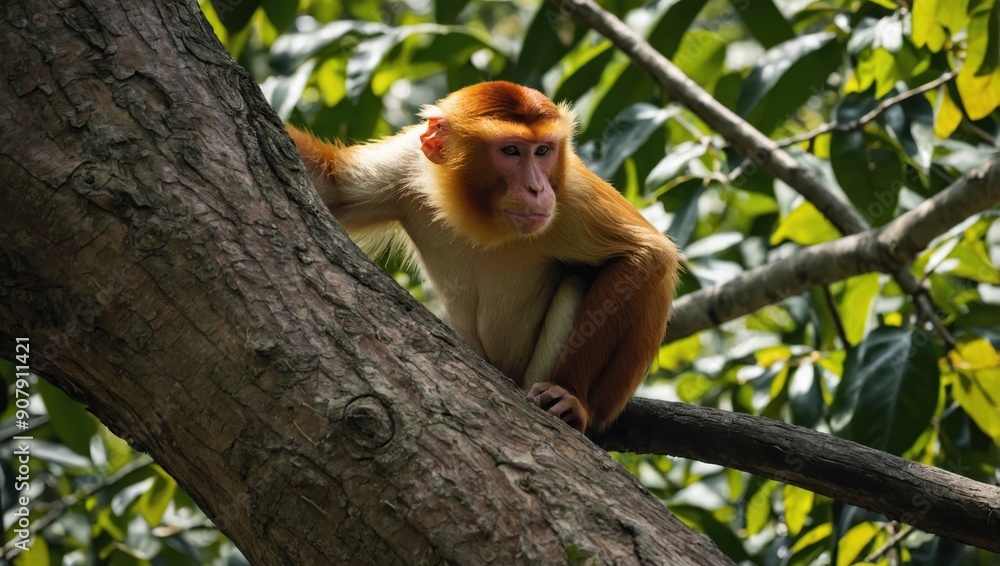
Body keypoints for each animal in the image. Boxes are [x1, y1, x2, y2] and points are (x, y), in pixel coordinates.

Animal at [287, 81, 680, 432]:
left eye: (543, 151)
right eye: (511, 151)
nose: (537, 188)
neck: (482, 218)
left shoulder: (569, 193)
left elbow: (646, 254)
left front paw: (572, 397)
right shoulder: (409, 161)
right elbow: (332, 187)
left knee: (580, 278)